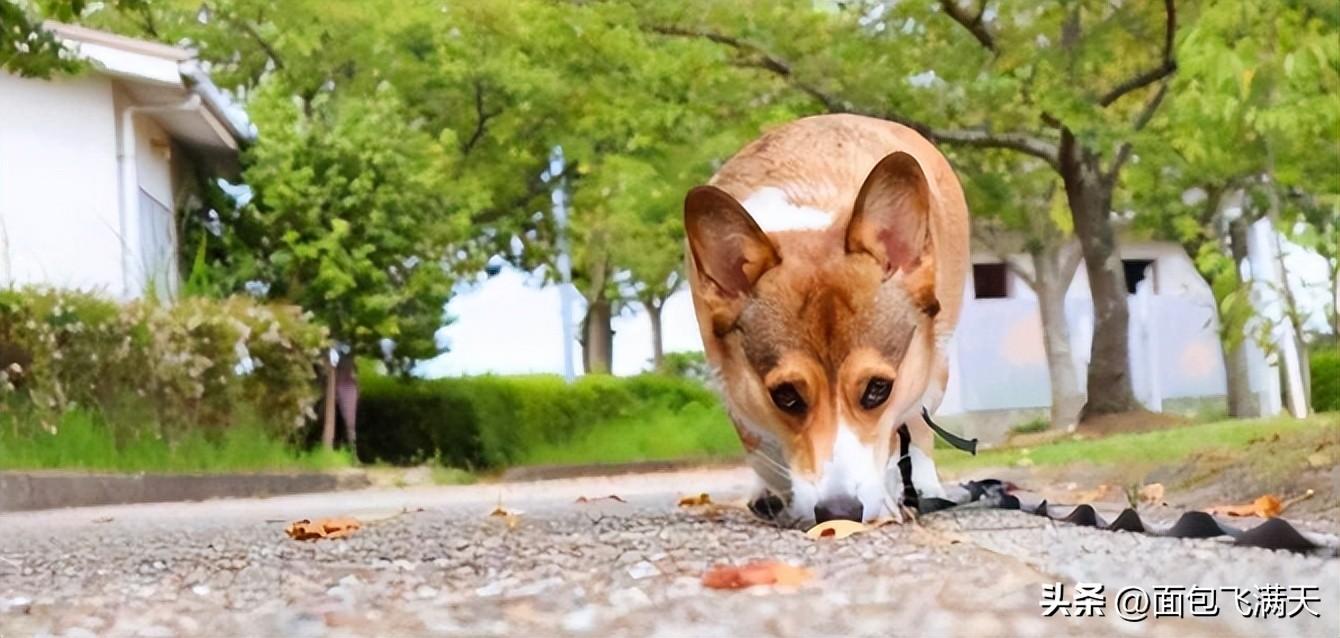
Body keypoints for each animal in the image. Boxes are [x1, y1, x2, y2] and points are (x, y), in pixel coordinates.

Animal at [686, 113, 970, 522]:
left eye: (877, 389)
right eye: (786, 396)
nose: (840, 512)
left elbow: (901, 438)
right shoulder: (732, 382)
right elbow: (764, 452)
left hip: (940, 363)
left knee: (918, 428)